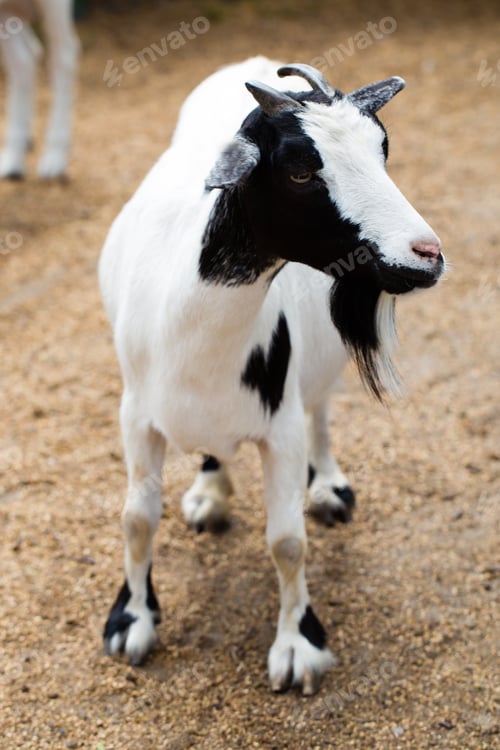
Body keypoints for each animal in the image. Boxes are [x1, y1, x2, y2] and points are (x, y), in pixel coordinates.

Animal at [0, 0, 78, 178]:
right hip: (6, 14)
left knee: (64, 55)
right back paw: (15, 157)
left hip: (55, 6)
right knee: (25, 60)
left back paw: (54, 157)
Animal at [98, 57, 445, 695]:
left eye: (383, 149)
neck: (190, 334)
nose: (427, 254)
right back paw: (210, 493)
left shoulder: (279, 425)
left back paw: (328, 487)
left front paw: (297, 645)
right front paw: (131, 619)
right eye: (302, 171)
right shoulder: (136, 414)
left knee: (321, 410)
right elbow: (136, 518)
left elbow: (286, 540)